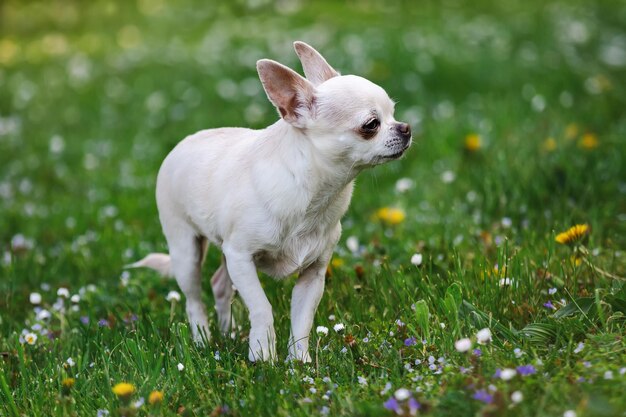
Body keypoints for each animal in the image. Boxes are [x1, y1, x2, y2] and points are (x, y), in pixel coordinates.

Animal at [128, 42, 410, 360]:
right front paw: (262, 355)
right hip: (186, 251)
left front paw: (299, 362)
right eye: (371, 125)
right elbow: (262, 307)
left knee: (219, 285)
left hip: (224, 250)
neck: (314, 194)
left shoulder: (313, 272)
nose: (406, 128)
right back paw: (202, 341)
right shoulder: (241, 257)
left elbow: (302, 320)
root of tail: (182, 143)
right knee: (193, 299)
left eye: (394, 113)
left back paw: (228, 333)